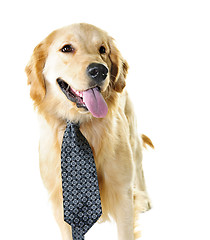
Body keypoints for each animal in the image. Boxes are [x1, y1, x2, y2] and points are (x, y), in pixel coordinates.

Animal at [26, 23, 153, 240]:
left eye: (102, 49)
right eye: (67, 48)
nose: (100, 71)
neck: (79, 123)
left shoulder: (123, 194)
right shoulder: (61, 203)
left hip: (133, 137)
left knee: (139, 167)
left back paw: (144, 199)